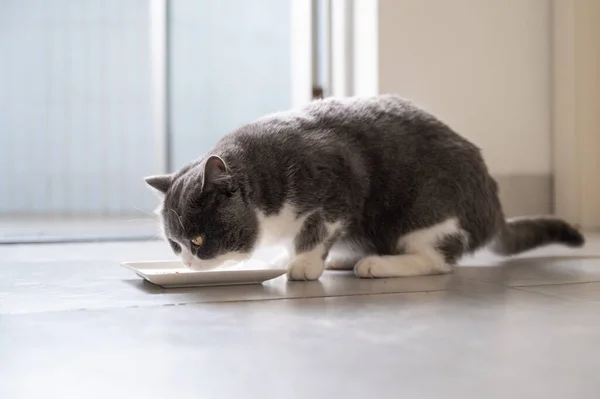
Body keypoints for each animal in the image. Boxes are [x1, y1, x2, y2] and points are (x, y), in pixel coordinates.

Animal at [146, 95, 584, 282]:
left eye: (198, 240)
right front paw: (292, 257)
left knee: (437, 259)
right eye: (175, 245)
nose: (187, 265)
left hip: (428, 211)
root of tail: (494, 206)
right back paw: (345, 258)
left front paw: (303, 265)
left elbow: (315, 231)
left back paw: (376, 264)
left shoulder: (337, 184)